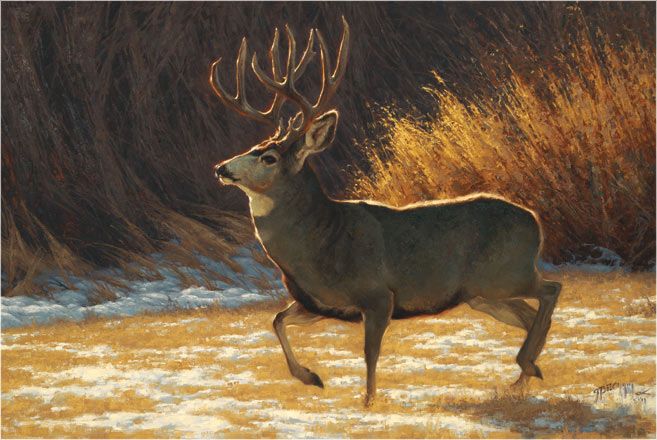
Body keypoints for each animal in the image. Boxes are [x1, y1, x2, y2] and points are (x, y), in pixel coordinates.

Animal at [210, 18, 561, 407]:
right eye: (254, 147)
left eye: (268, 157)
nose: (221, 168)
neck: (322, 242)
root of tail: (535, 222)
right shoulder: (321, 304)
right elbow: (277, 320)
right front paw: (312, 378)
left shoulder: (378, 295)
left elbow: (370, 354)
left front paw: (367, 404)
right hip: (483, 294)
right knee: (530, 314)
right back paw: (525, 378)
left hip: (505, 275)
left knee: (551, 290)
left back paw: (526, 366)